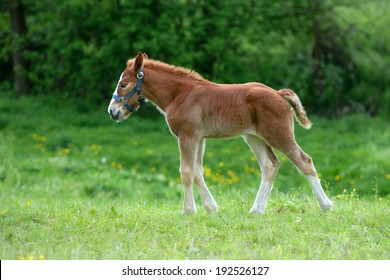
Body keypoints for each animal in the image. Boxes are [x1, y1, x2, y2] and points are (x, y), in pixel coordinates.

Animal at [108, 52, 334, 214]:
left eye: (123, 84)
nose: (112, 111)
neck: (179, 95)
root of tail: (278, 94)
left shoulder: (187, 136)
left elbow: (186, 171)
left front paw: (188, 211)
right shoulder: (199, 138)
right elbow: (198, 171)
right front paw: (211, 208)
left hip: (278, 134)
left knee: (304, 161)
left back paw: (326, 205)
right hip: (253, 137)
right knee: (270, 165)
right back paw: (256, 210)